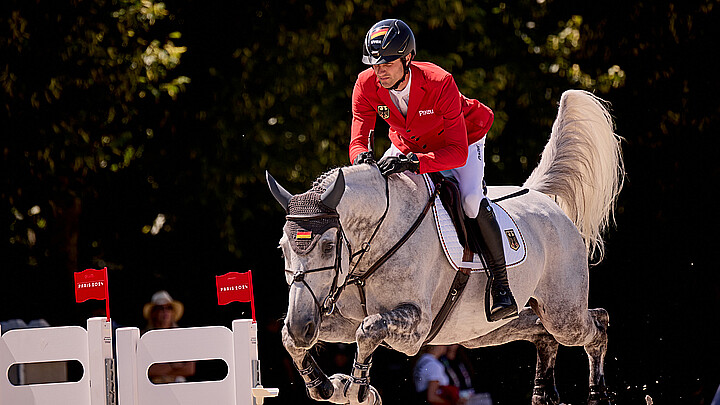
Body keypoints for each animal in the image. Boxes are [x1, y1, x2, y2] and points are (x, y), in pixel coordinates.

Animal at [270, 90, 624, 402]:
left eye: (329, 247)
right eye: (283, 248)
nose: (303, 326)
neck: (377, 237)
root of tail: (542, 199)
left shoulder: (415, 326)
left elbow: (369, 329)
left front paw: (357, 389)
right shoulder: (340, 320)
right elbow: (290, 339)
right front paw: (323, 386)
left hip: (563, 313)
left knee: (595, 323)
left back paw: (598, 394)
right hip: (484, 331)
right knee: (541, 331)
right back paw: (543, 394)